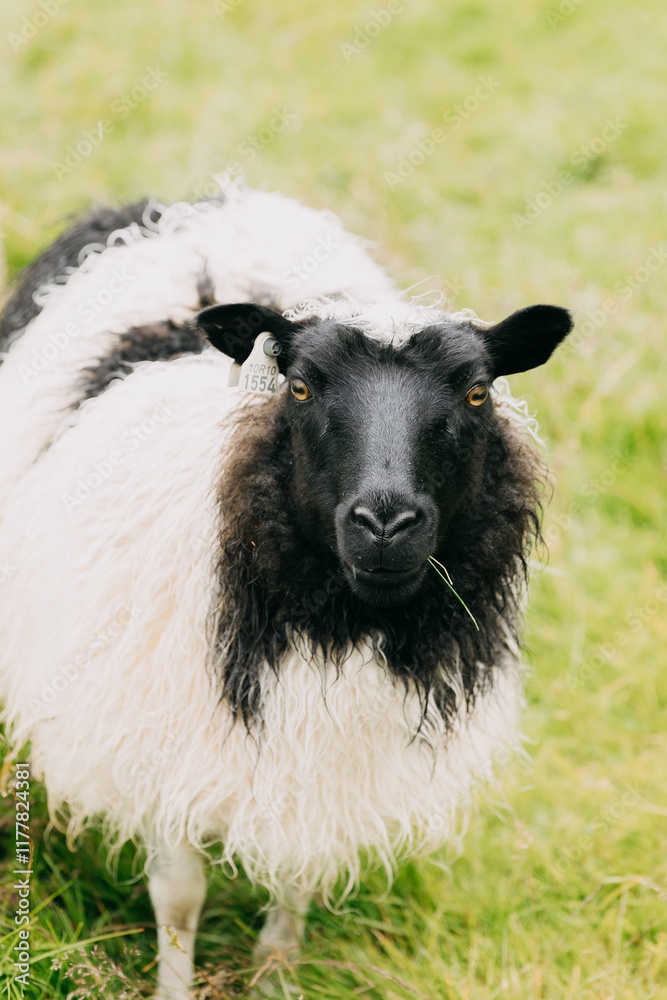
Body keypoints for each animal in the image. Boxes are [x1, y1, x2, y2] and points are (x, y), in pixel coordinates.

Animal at [0, 180, 572, 999]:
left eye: (475, 394)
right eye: (299, 387)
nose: (385, 522)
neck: (341, 619)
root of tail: (195, 201)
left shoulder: (329, 757)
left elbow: (299, 872)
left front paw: (275, 976)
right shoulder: (161, 734)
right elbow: (180, 897)